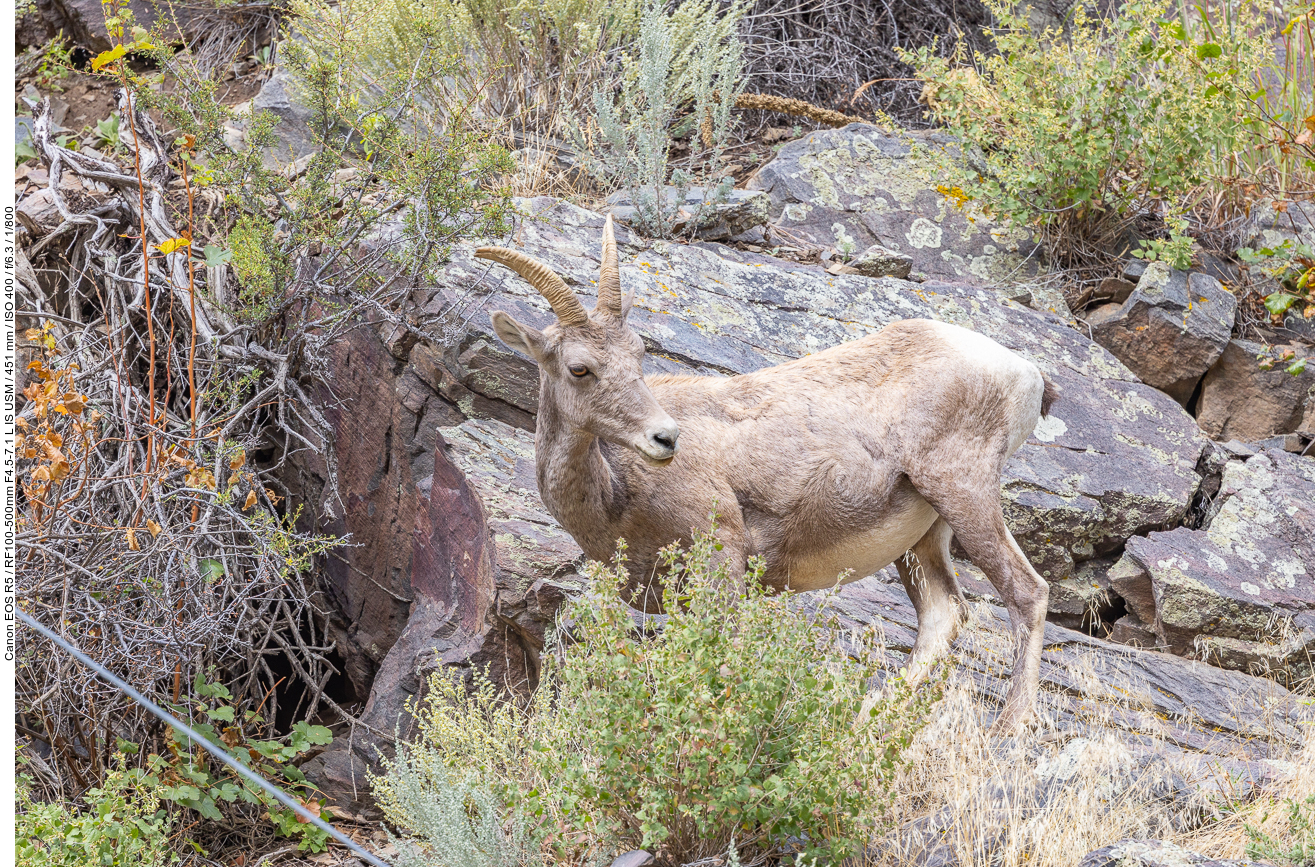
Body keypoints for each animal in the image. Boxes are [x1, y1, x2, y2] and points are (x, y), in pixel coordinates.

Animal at [478, 217, 1052, 726]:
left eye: (638, 354)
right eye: (580, 368)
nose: (665, 438)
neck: (616, 498)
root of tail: (1023, 372)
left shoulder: (723, 559)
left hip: (963, 492)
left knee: (1026, 592)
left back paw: (1010, 730)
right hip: (924, 536)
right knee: (942, 614)